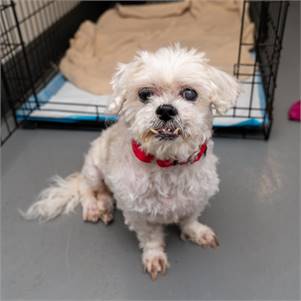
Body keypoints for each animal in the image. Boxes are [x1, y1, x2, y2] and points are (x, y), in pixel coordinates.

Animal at [22, 45, 239, 278]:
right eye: (144, 94)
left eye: (190, 93)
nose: (165, 109)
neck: (166, 163)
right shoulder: (138, 214)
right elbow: (151, 238)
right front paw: (154, 257)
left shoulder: (197, 197)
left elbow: (189, 219)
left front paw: (196, 232)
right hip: (94, 169)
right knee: (86, 189)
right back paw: (93, 208)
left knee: (106, 194)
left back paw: (106, 208)